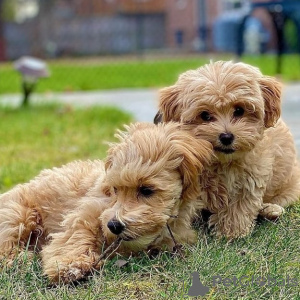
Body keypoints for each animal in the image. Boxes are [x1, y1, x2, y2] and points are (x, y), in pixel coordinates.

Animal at [0, 121, 211, 282]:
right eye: (115, 189)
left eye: (146, 190)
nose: (114, 225)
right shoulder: (89, 210)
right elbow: (75, 233)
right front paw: (71, 264)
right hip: (18, 214)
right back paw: (18, 259)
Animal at [156, 60, 300, 239]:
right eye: (205, 115)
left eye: (239, 110)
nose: (226, 137)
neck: (221, 162)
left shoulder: (252, 176)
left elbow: (240, 205)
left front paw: (231, 232)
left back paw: (270, 209)